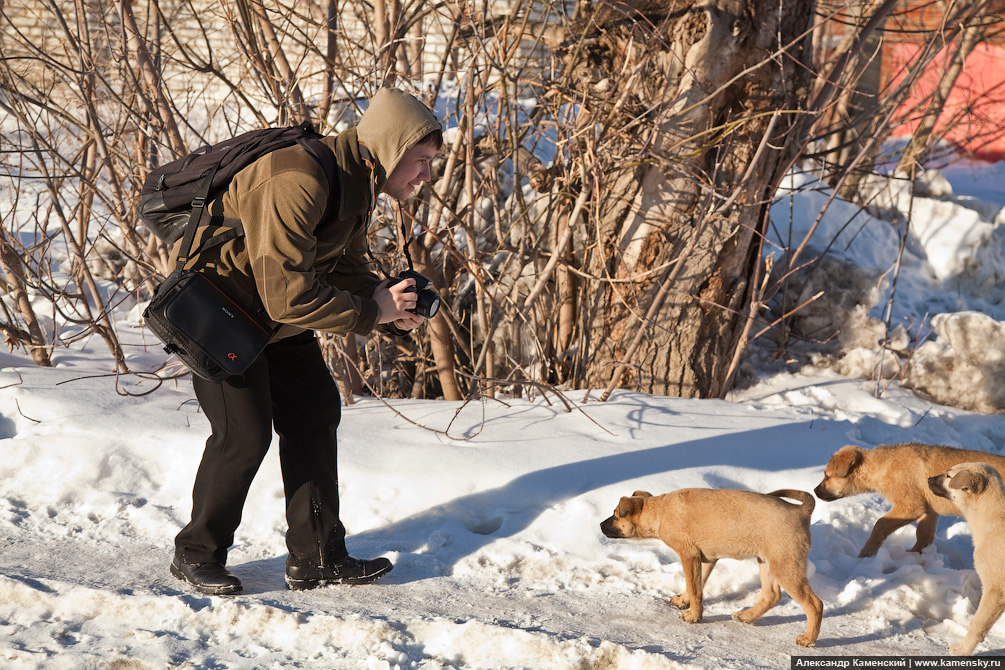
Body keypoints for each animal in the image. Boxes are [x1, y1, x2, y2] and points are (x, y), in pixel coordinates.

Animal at [598, 490, 820, 646]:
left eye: (616, 515)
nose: (599, 525)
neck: (658, 510)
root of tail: (801, 511)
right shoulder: (705, 560)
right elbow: (695, 587)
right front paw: (683, 601)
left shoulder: (689, 555)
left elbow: (694, 588)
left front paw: (693, 616)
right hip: (768, 561)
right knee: (771, 595)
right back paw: (746, 616)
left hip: (785, 566)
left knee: (814, 605)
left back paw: (808, 639)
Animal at [812, 441, 1005, 558]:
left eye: (827, 476)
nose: (814, 491)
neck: (881, 468)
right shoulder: (928, 511)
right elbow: (923, 536)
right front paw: (913, 556)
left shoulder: (911, 505)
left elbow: (880, 524)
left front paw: (866, 554)